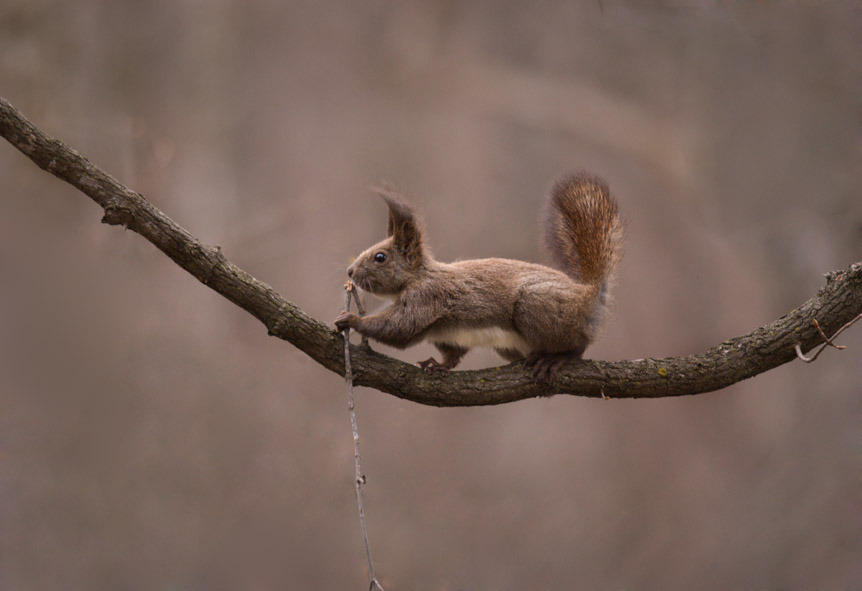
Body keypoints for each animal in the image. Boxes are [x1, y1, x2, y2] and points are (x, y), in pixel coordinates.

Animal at [334, 173, 624, 382]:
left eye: (380, 257)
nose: (350, 272)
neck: (418, 276)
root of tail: (590, 294)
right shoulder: (445, 334)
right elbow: (452, 355)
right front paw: (438, 365)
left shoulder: (426, 297)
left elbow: (399, 328)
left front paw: (352, 319)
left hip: (537, 305)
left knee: (579, 346)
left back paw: (556, 359)